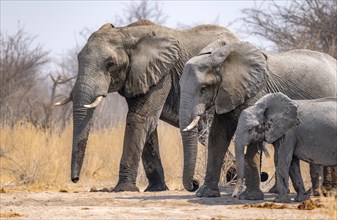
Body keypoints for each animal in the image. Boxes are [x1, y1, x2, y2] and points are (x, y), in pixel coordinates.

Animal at [53, 18, 239, 192]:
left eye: (110, 64)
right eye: (78, 59)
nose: (75, 179)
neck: (126, 32)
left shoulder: (162, 74)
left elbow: (139, 117)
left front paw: (123, 189)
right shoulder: (138, 76)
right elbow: (147, 124)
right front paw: (156, 189)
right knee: (206, 134)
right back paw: (233, 178)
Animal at [178, 40, 336, 199]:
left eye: (203, 88)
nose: (194, 183)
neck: (221, 59)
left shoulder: (257, 92)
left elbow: (252, 140)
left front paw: (251, 197)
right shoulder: (226, 94)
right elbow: (218, 137)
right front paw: (206, 194)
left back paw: (325, 192)